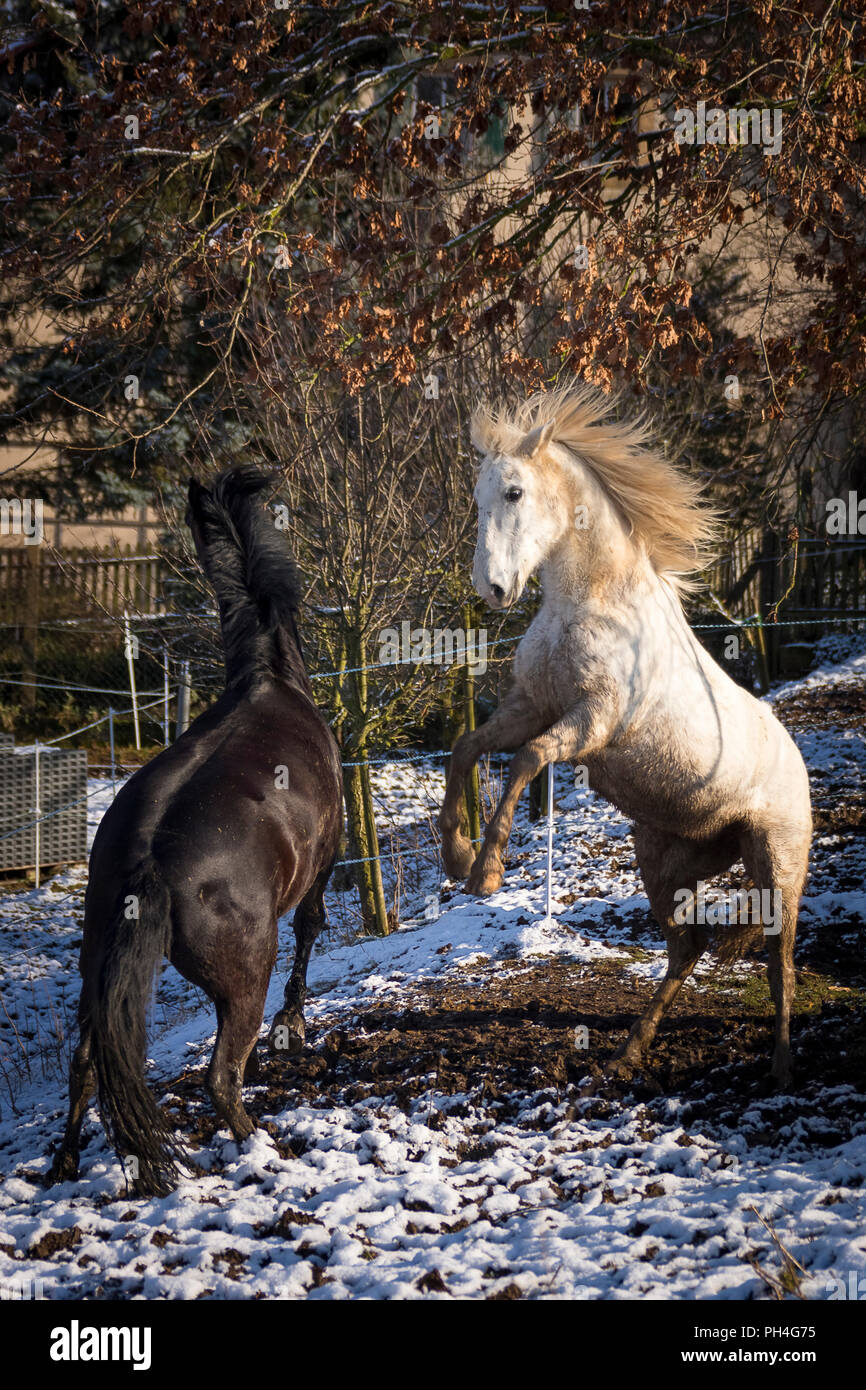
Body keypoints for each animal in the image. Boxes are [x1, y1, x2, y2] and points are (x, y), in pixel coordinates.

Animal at [49, 466, 343, 1195]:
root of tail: (149, 862)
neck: (268, 680)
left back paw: (63, 1165)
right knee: (220, 1078)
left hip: (96, 970)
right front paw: (294, 1026)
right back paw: (266, 1148)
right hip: (241, 980)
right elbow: (312, 927)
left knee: (85, 1064)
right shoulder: (327, 858)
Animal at [439, 385, 811, 1087]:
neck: (592, 602)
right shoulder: (531, 704)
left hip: (776, 863)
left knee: (781, 963)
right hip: (663, 858)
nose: (493, 590)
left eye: (514, 492)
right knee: (688, 946)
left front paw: (488, 872)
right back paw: (628, 1051)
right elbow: (467, 749)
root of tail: (799, 763)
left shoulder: (592, 723)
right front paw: (456, 855)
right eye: (475, 497)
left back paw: (779, 1065)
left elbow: (525, 760)